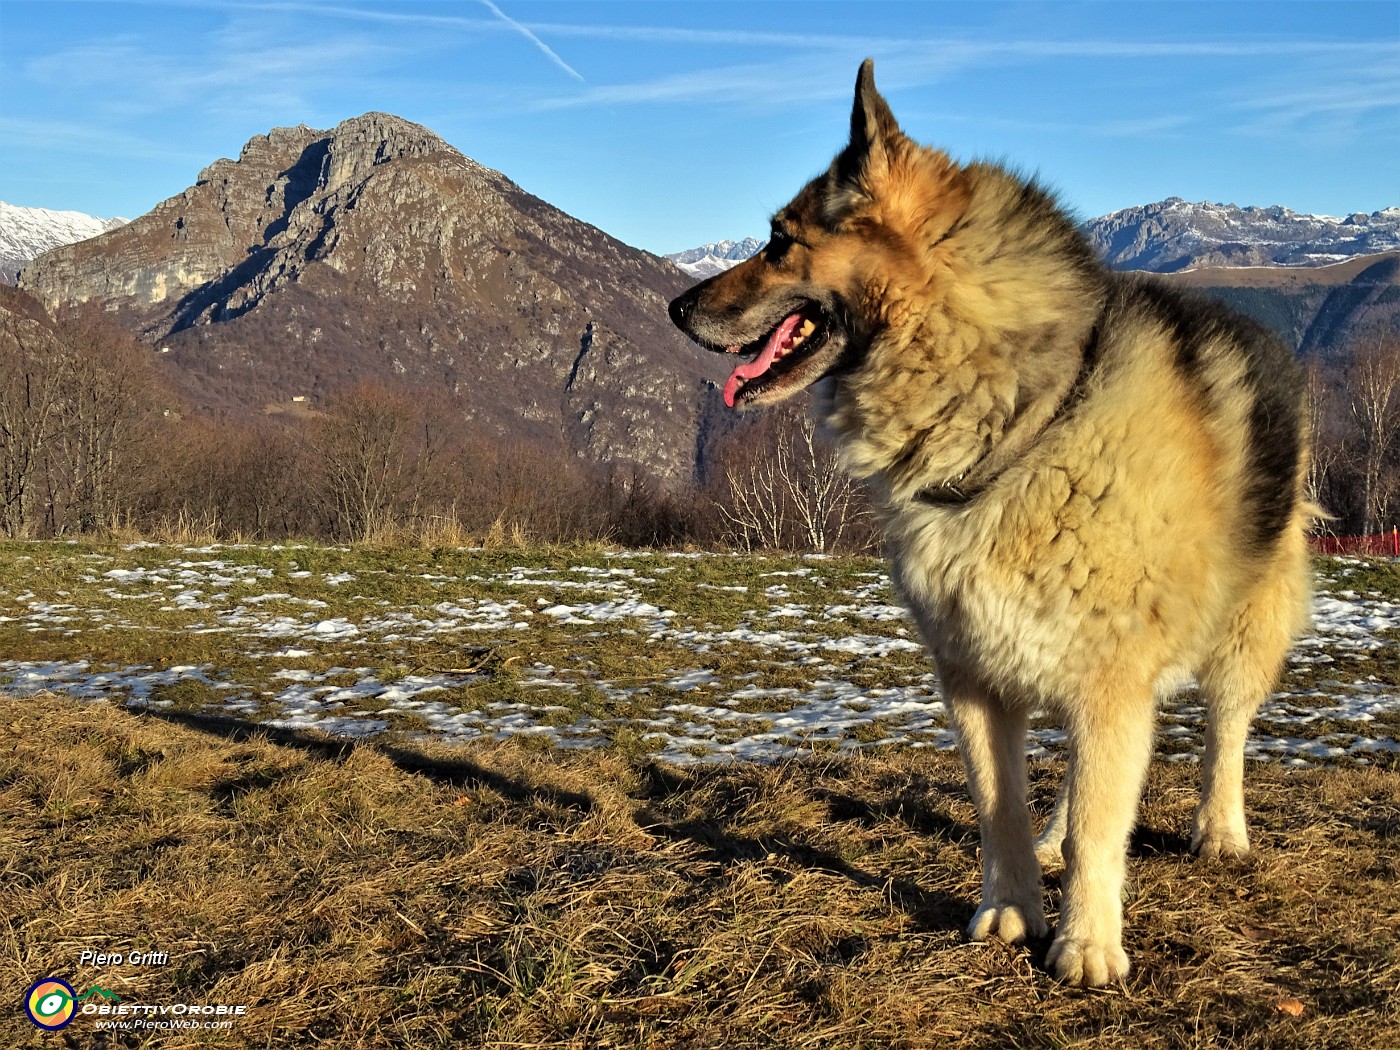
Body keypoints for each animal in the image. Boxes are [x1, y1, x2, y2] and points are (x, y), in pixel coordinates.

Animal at [666, 61, 1310, 991]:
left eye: (780, 240)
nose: (676, 306)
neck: (1020, 419)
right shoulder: (972, 673)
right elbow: (1002, 805)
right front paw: (1010, 911)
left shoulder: (1110, 672)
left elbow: (1105, 821)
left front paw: (1087, 943)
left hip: (1244, 623)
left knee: (1225, 730)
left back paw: (1219, 831)